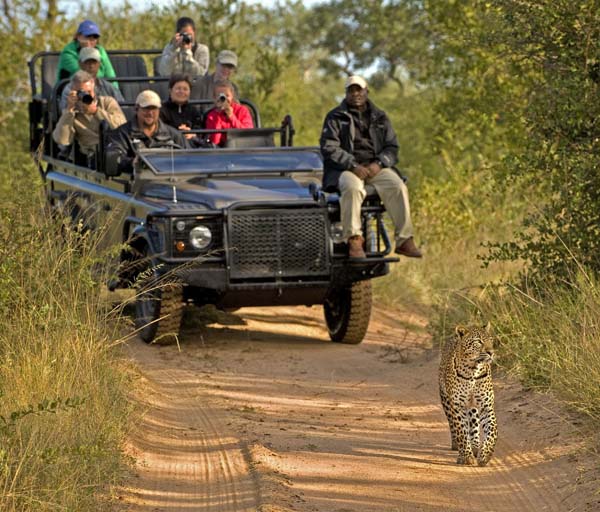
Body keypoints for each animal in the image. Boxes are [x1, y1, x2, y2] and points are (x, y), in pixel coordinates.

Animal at [440, 326, 496, 466]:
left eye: (491, 340)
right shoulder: (457, 406)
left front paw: (485, 455)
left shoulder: (486, 407)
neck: (472, 371)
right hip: (446, 400)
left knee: (474, 425)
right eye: (478, 342)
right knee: (454, 425)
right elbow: (461, 430)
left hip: (473, 407)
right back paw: (458, 447)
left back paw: (475, 447)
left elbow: (492, 431)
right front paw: (466, 456)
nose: (491, 352)